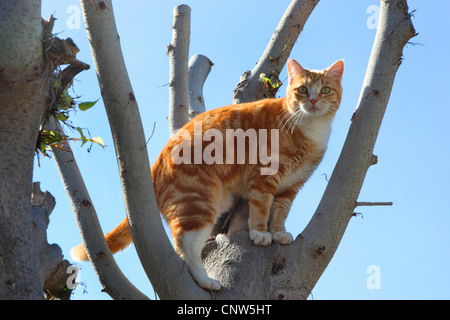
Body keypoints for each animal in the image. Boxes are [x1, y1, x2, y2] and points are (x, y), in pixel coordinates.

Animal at [71, 58, 344, 292]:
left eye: (325, 90)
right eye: (302, 90)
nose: (312, 100)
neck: (308, 129)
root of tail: (155, 164)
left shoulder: (291, 187)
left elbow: (280, 211)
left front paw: (278, 232)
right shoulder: (263, 177)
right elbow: (261, 207)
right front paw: (260, 233)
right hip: (199, 203)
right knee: (185, 244)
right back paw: (205, 280)